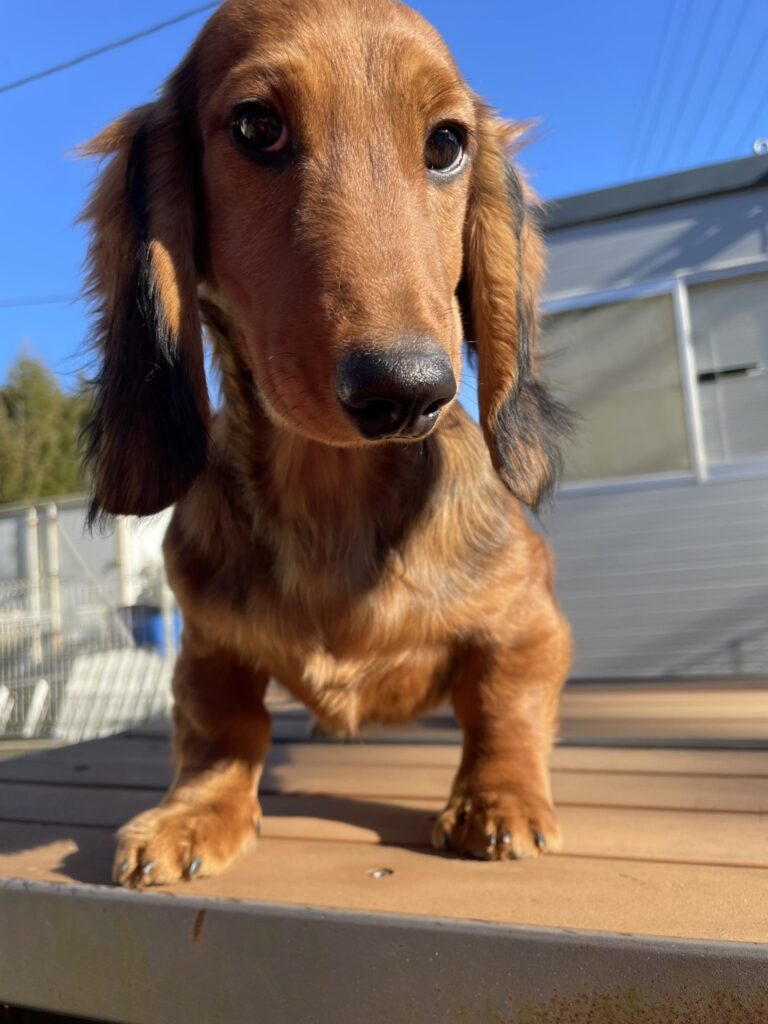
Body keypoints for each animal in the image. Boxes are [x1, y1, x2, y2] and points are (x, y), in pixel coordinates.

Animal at [81, 0, 572, 888]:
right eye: (256, 126)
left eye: (445, 144)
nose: (408, 390)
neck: (331, 497)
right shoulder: (205, 646)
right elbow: (222, 731)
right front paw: (194, 812)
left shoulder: (531, 622)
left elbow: (505, 704)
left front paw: (500, 799)